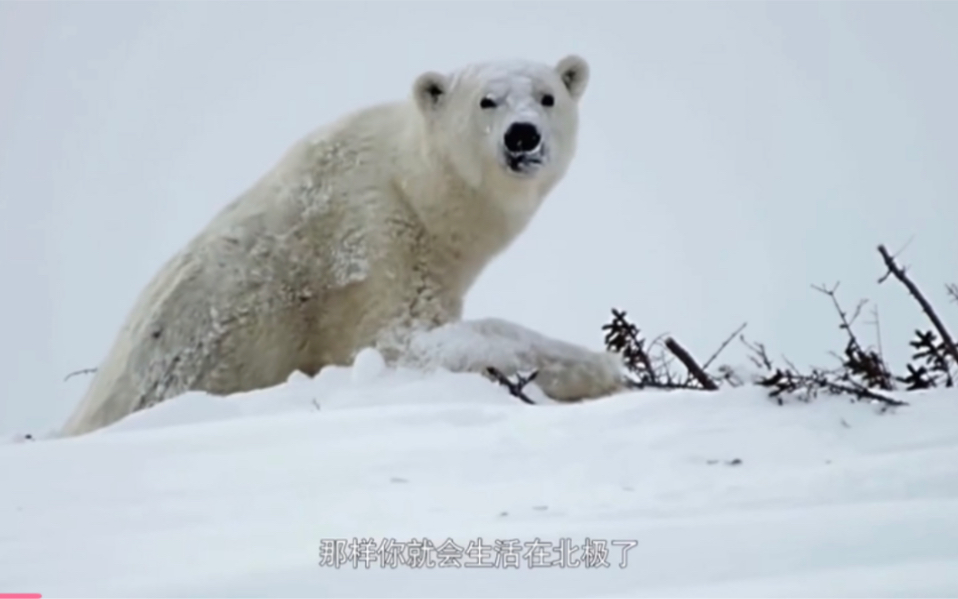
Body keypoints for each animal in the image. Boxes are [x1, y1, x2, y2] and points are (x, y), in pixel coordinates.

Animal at [62, 55, 632, 436]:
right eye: (486, 100)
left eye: (548, 96)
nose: (522, 136)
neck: (416, 188)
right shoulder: (371, 241)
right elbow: (399, 344)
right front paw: (602, 369)